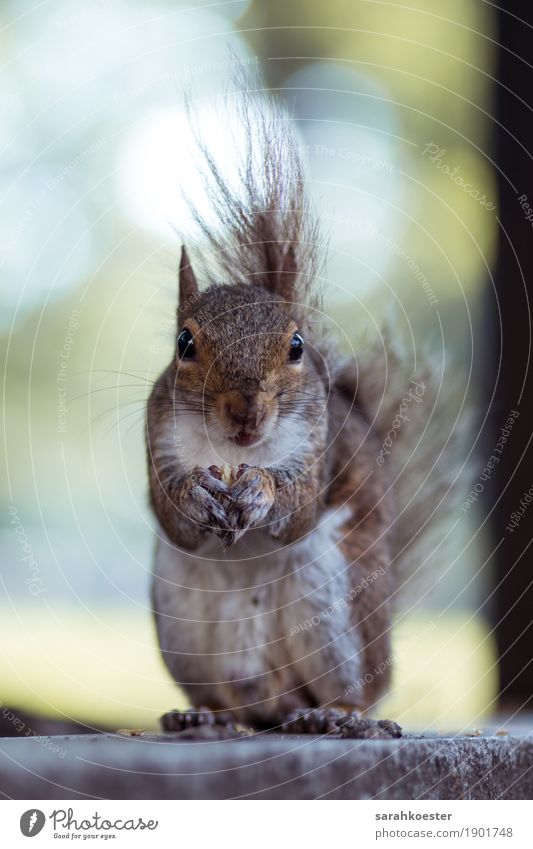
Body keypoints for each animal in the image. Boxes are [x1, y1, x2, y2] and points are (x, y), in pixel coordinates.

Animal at [145, 88, 462, 736]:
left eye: (295, 346)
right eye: (185, 343)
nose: (246, 413)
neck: (232, 451)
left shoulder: (322, 442)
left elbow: (299, 501)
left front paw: (261, 490)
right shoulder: (156, 431)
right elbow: (170, 509)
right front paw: (195, 492)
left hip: (334, 601)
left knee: (352, 691)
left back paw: (334, 715)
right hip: (181, 623)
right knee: (234, 701)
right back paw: (205, 717)